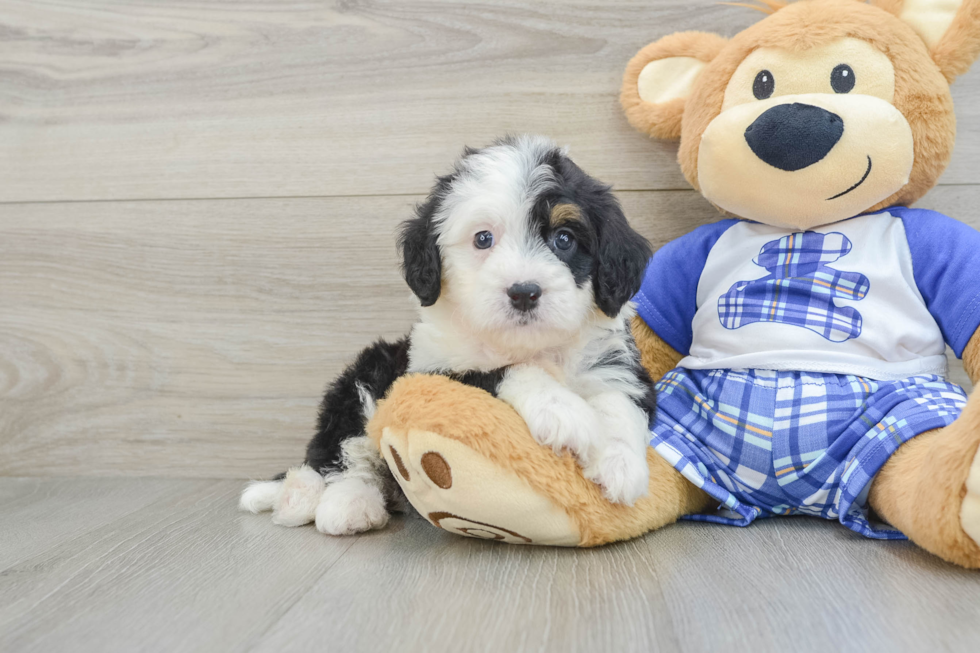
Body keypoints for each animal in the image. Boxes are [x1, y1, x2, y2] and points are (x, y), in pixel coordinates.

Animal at [242, 134, 660, 536]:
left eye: (564, 239)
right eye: (483, 239)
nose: (524, 292)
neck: (529, 345)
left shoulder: (618, 367)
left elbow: (620, 402)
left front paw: (621, 464)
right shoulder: (431, 374)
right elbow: (501, 372)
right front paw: (562, 410)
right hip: (366, 376)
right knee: (343, 455)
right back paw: (337, 503)